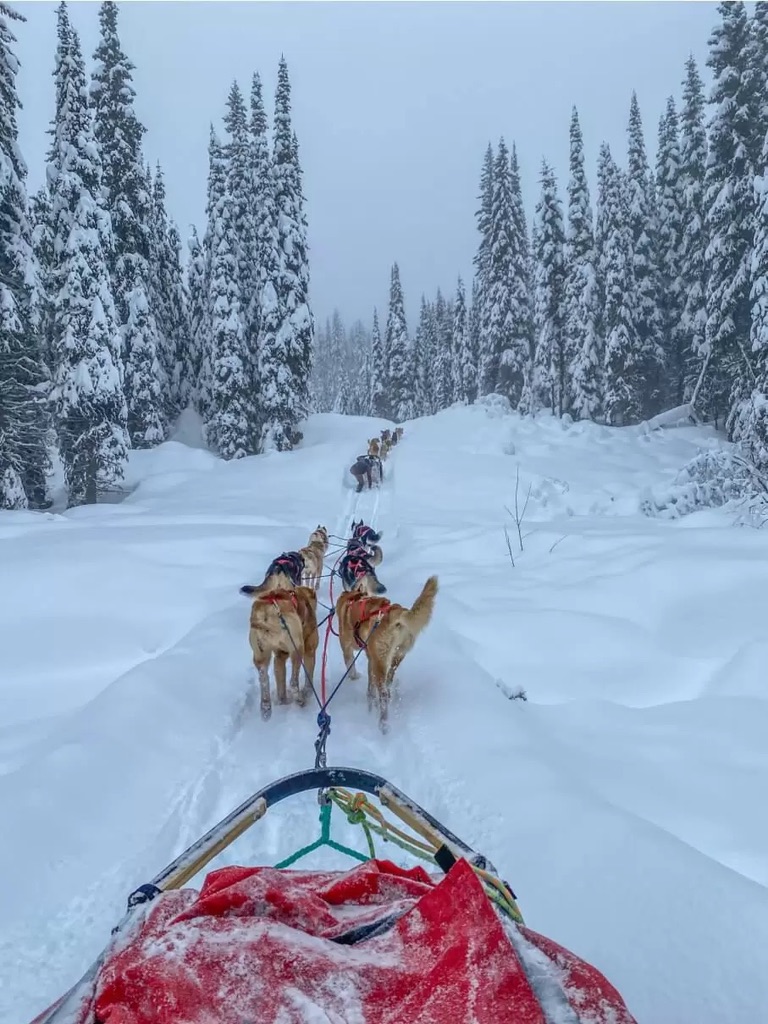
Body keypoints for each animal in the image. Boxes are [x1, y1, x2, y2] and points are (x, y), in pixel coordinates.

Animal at [237, 585, 315, 720]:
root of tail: (266, 613)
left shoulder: (279, 656)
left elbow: (280, 680)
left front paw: (282, 701)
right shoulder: (309, 649)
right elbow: (308, 676)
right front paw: (308, 692)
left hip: (261, 656)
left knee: (264, 678)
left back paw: (266, 707)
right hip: (297, 649)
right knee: (293, 682)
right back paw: (300, 699)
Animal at [335, 573, 438, 733]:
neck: (352, 599)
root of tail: (394, 611)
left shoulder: (348, 649)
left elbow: (351, 667)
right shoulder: (370, 658)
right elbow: (371, 688)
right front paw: (370, 704)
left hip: (380, 661)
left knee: (383, 692)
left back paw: (383, 724)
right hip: (395, 656)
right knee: (388, 680)